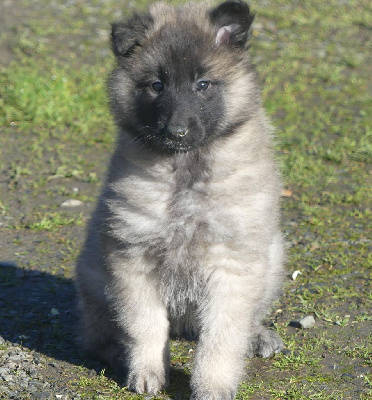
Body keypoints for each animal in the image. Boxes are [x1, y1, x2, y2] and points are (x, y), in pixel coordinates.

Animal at [75, 1, 284, 398]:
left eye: (203, 85)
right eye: (156, 86)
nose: (177, 131)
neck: (188, 171)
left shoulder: (233, 264)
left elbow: (221, 338)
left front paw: (213, 385)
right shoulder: (134, 257)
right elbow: (145, 325)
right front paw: (146, 372)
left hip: (273, 255)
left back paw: (258, 336)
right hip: (95, 271)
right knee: (98, 331)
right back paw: (116, 351)